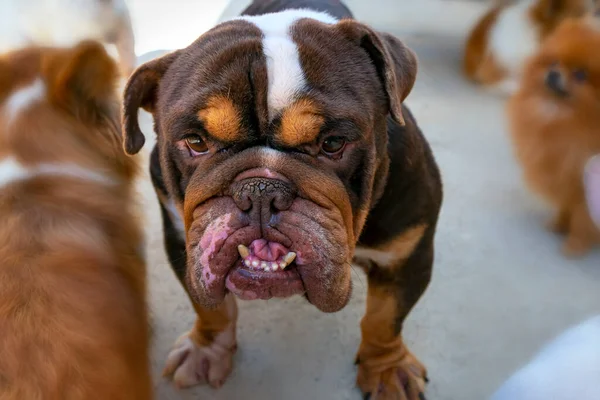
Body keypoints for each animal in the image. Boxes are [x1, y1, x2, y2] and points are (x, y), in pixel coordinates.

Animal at [508, 15, 600, 256]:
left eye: (580, 74)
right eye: (554, 63)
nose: (553, 74)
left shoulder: (585, 185)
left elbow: (582, 219)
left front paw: (575, 245)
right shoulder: (565, 175)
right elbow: (566, 207)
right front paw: (558, 225)